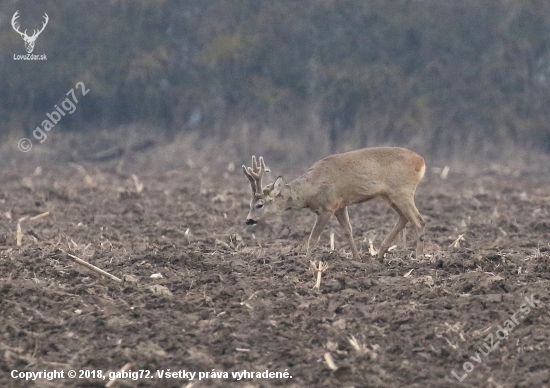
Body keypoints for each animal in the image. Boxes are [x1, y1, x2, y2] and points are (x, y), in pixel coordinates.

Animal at [244, 148, 430, 260]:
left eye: (260, 204)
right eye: (250, 203)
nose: (248, 220)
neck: (310, 189)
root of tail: (422, 161)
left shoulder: (327, 206)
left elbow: (313, 237)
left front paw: (306, 260)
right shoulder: (340, 204)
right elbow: (348, 230)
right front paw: (357, 258)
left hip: (403, 191)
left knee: (419, 221)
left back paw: (418, 257)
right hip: (389, 195)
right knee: (404, 218)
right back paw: (379, 253)